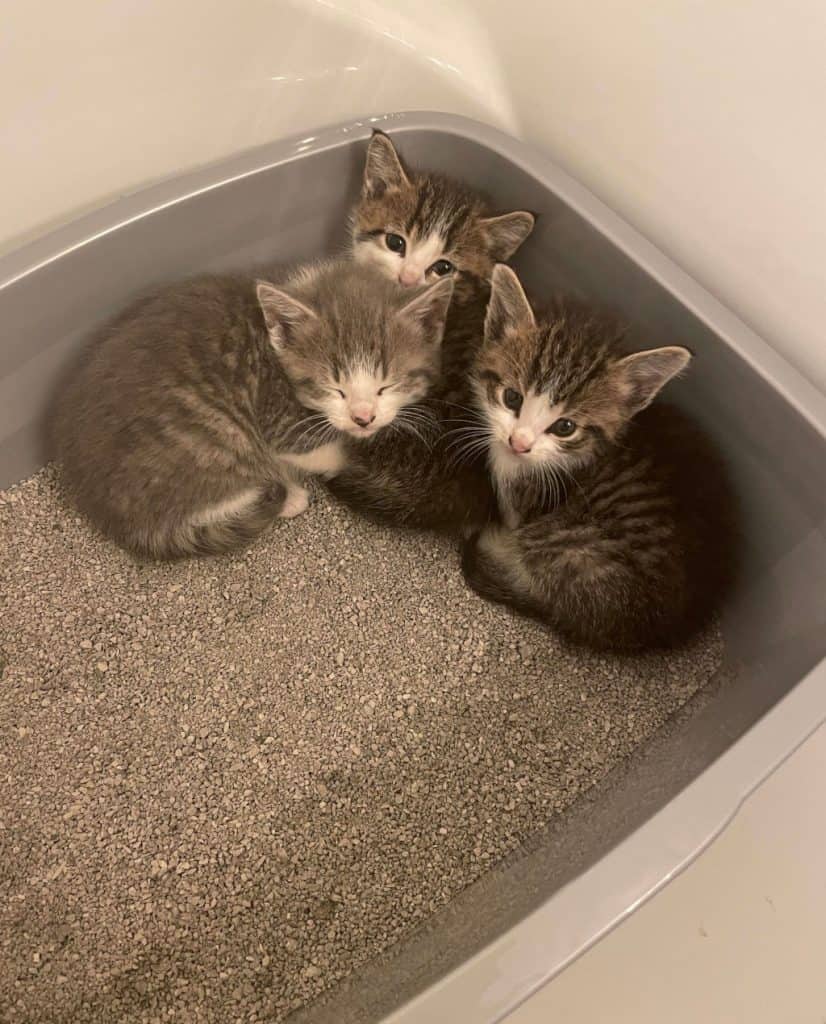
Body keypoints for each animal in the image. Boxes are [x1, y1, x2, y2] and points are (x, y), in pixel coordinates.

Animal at [53, 258, 452, 561]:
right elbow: (321, 452)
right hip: (218, 440)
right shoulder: (278, 420)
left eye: (386, 385)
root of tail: (103, 508)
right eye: (333, 388)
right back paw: (289, 496)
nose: (363, 417)